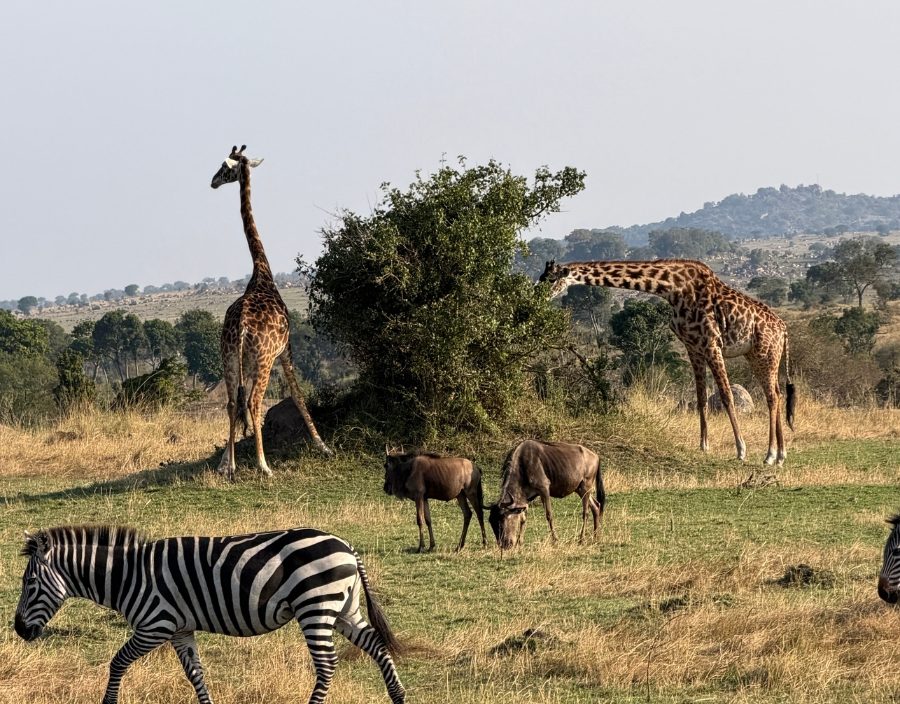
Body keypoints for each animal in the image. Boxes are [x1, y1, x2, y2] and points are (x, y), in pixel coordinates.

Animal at [14, 524, 406, 704]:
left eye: (30, 583)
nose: (18, 630)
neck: (127, 576)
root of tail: (347, 546)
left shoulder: (155, 626)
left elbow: (117, 662)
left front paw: (108, 702)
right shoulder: (180, 630)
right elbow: (195, 674)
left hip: (316, 607)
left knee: (326, 666)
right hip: (343, 608)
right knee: (376, 646)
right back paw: (398, 696)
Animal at [211, 145, 331, 479]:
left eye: (225, 169)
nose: (212, 181)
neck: (261, 272)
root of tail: (241, 328)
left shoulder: (247, 363)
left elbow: (237, 405)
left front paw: (226, 460)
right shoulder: (285, 350)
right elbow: (298, 393)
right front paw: (323, 446)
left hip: (229, 356)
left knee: (232, 402)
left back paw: (231, 466)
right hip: (263, 360)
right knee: (253, 402)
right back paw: (264, 466)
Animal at [540, 259, 796, 467]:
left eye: (550, 279)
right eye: (542, 277)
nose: (539, 295)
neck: (672, 289)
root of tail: (783, 329)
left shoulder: (712, 343)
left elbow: (726, 396)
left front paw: (741, 450)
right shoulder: (694, 347)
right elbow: (701, 398)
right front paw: (703, 446)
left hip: (764, 354)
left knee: (772, 396)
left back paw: (770, 455)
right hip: (757, 355)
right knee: (777, 393)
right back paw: (781, 455)